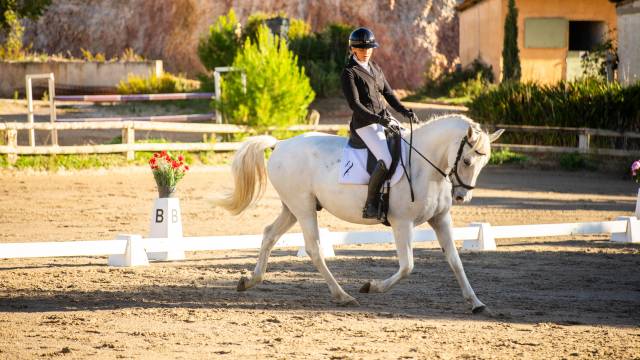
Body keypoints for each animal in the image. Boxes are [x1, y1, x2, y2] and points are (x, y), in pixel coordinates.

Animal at [215, 114, 504, 314]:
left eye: (484, 162)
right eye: (466, 161)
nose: (462, 197)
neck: (425, 166)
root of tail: (281, 144)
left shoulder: (440, 219)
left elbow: (455, 262)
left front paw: (476, 303)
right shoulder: (402, 223)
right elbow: (407, 266)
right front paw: (371, 287)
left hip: (292, 208)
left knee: (269, 235)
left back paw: (250, 281)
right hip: (303, 207)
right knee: (314, 248)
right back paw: (342, 295)